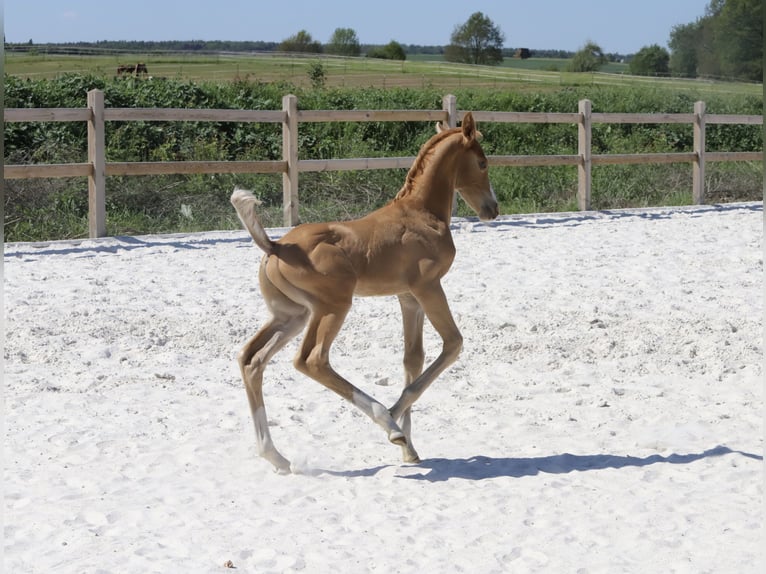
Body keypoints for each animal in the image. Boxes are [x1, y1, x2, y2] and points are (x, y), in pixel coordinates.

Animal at [231, 112, 500, 472]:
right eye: (482, 163)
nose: (492, 209)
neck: (420, 213)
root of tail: (276, 246)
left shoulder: (408, 297)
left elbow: (413, 359)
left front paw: (409, 449)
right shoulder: (428, 287)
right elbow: (453, 344)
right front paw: (397, 422)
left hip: (292, 315)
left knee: (251, 359)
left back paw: (277, 456)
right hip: (333, 306)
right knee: (311, 360)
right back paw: (387, 421)